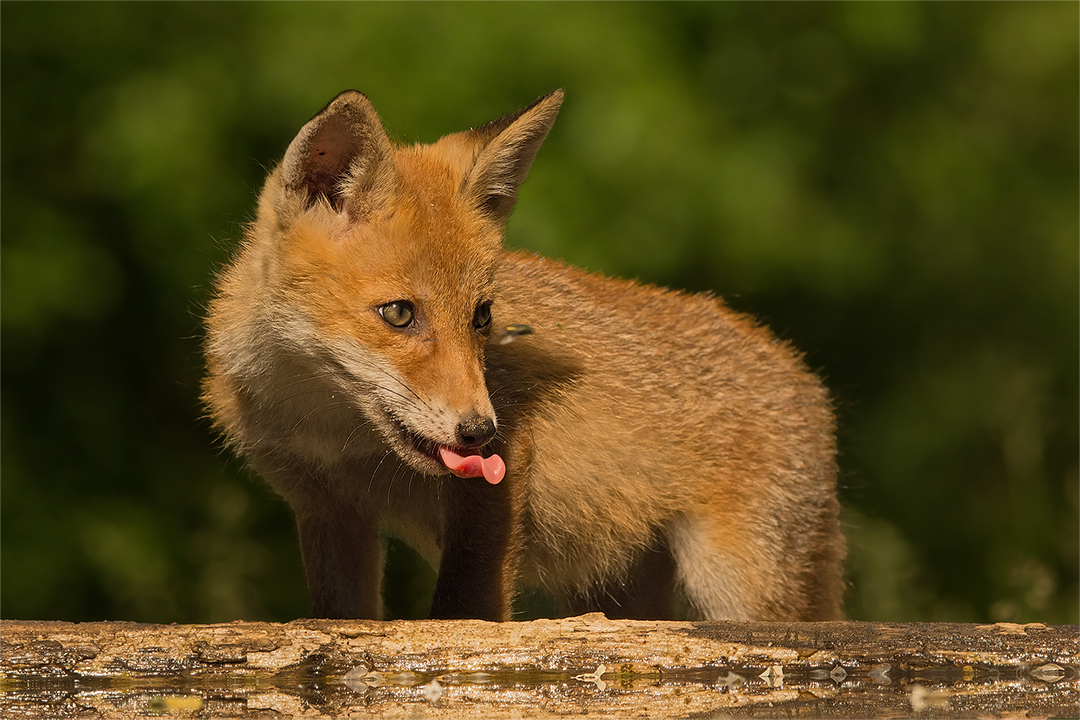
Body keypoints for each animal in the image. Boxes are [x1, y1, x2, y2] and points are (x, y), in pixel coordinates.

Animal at [203, 88, 842, 621]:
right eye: (399, 314)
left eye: (481, 317)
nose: (479, 431)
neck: (335, 431)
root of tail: (802, 371)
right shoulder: (327, 507)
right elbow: (341, 616)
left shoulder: (498, 480)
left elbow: (466, 605)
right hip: (618, 590)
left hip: (734, 585)